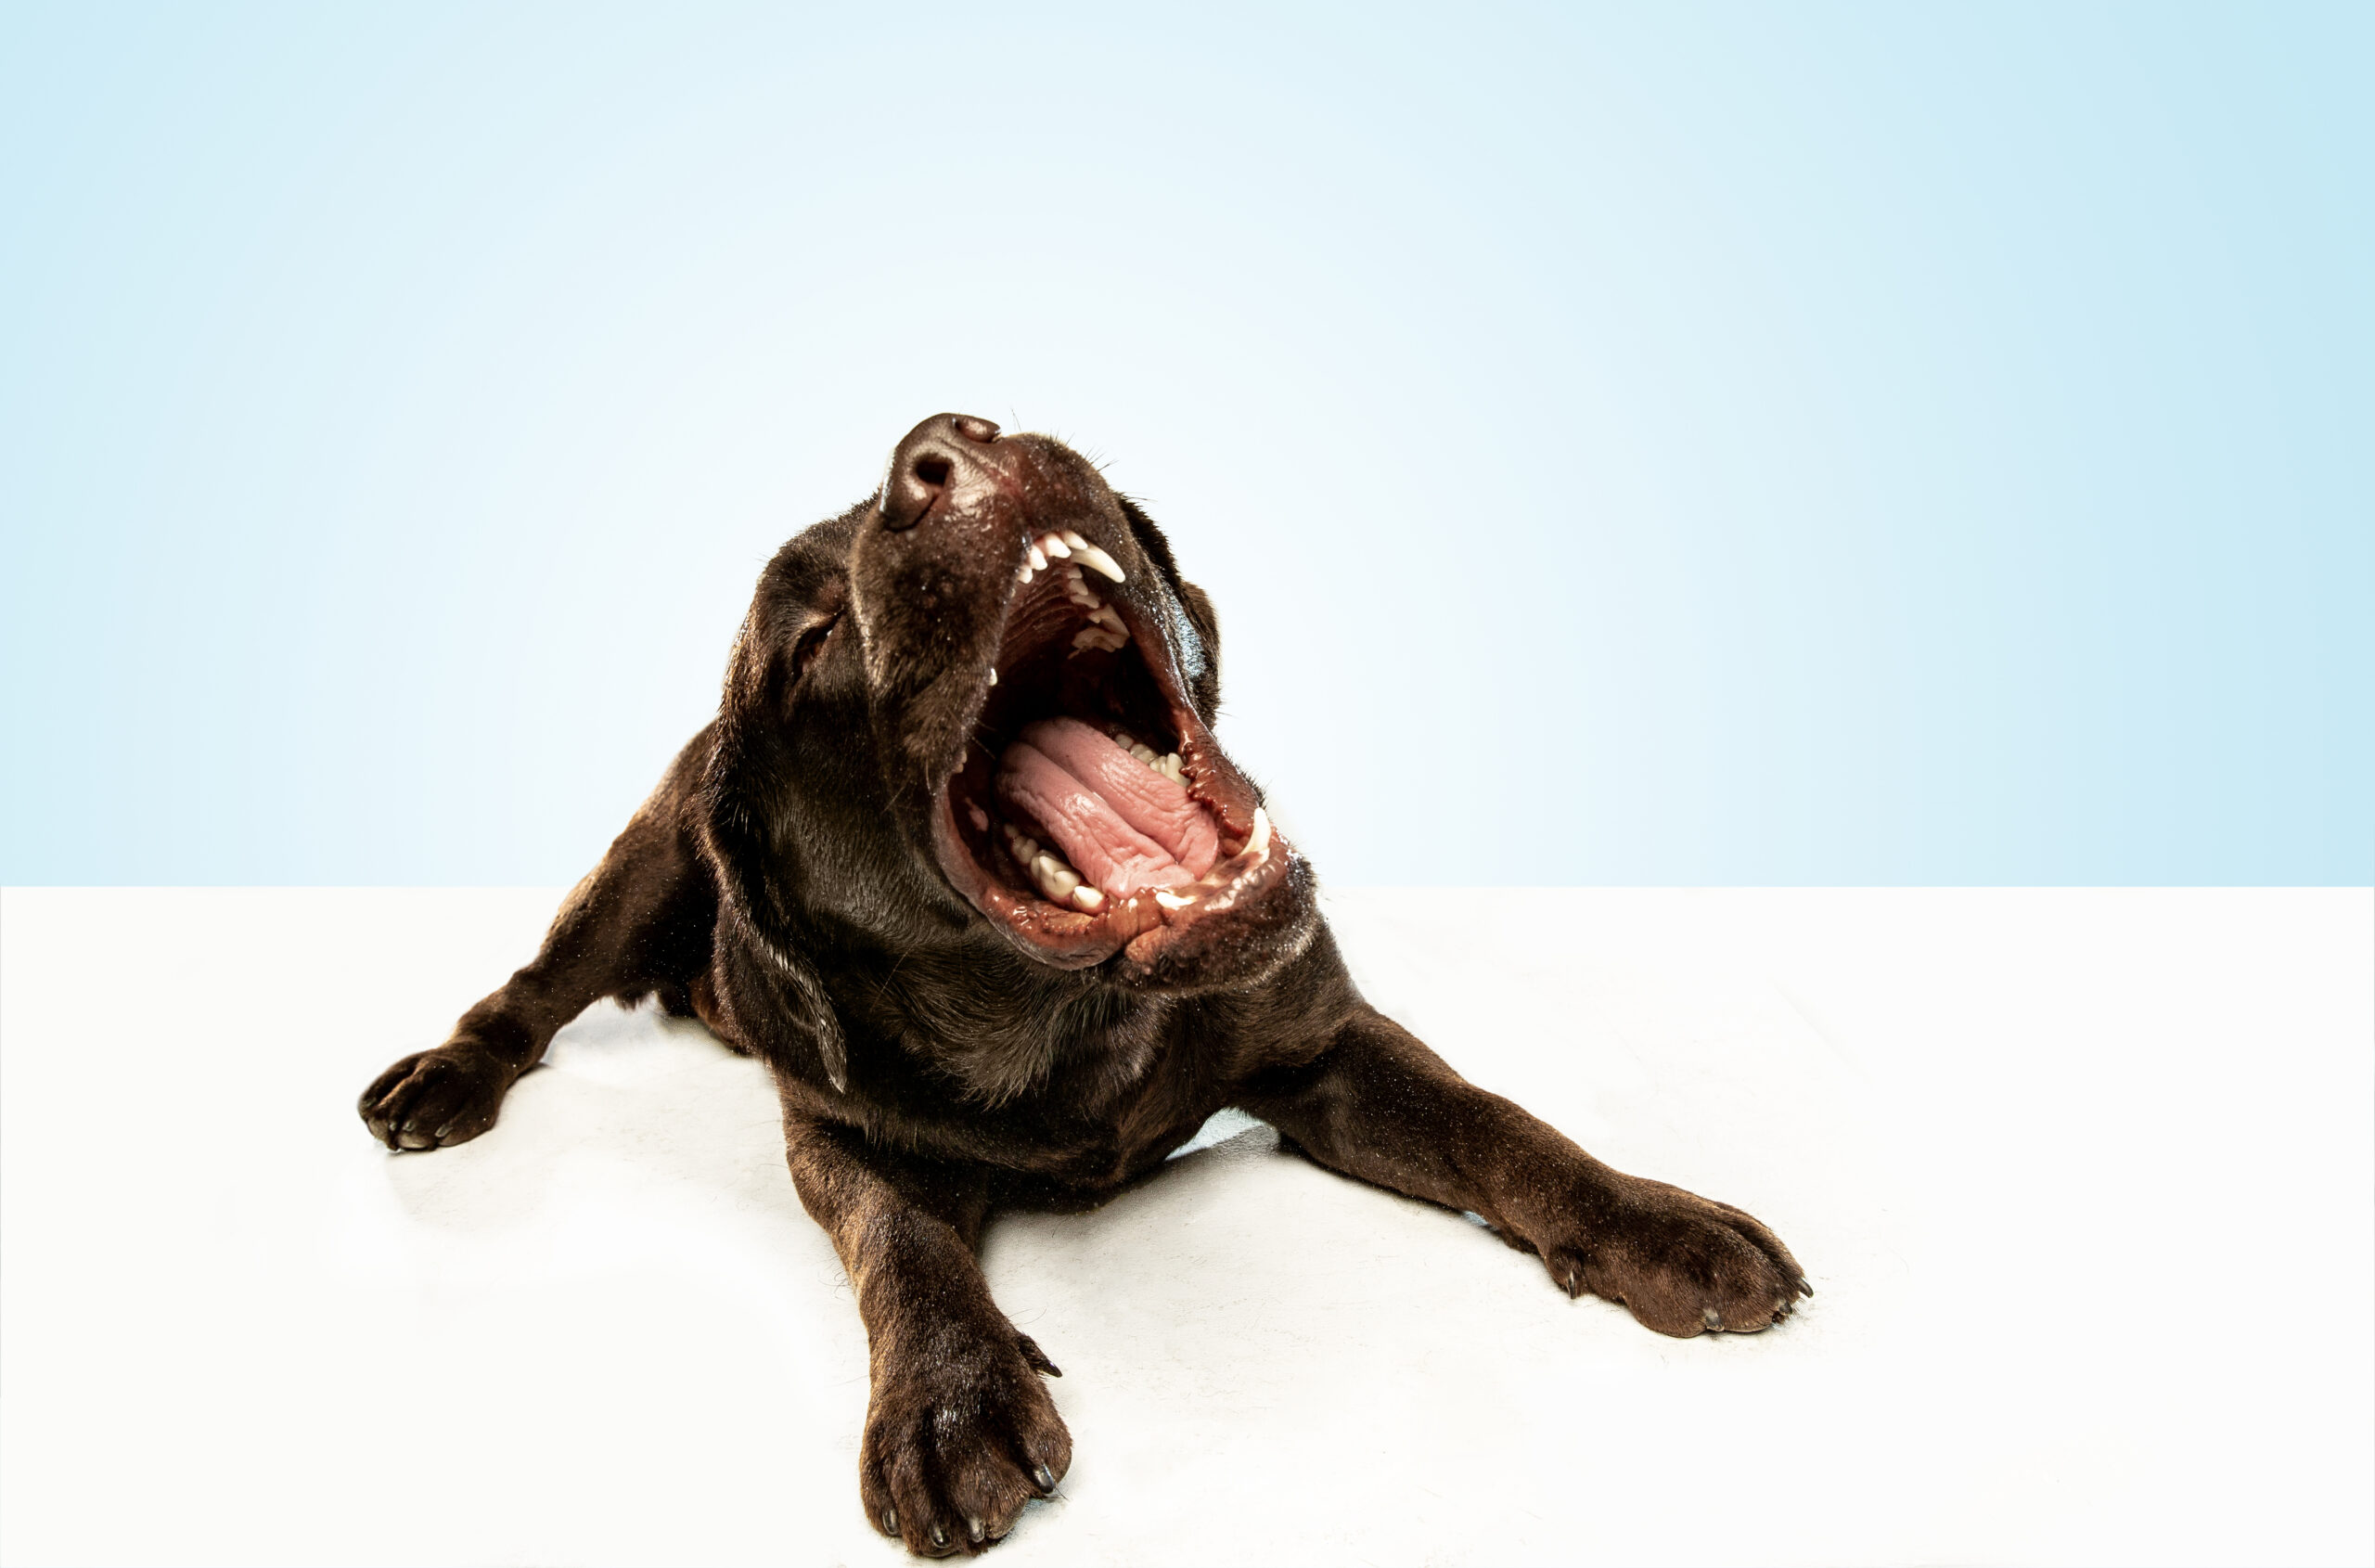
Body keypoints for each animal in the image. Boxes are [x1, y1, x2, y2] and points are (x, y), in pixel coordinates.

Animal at [351, 416, 1804, 1558]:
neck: (1068, 1018)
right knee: (530, 990)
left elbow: (1502, 1125)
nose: (938, 450)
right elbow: (904, 1238)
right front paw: (949, 1393)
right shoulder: (834, 1133)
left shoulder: (1326, 1047)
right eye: (808, 638)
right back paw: (445, 1076)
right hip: (641, 864)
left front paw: (1655, 1222)